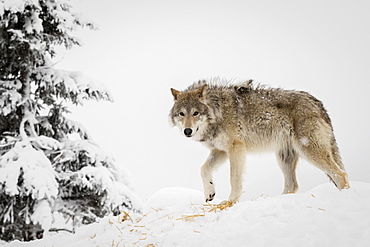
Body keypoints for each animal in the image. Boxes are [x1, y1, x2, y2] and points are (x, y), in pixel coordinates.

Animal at [170, 78, 350, 203]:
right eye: (181, 114)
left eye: (195, 113)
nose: (187, 131)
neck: (217, 112)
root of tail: (318, 103)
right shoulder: (221, 150)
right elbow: (203, 169)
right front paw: (210, 193)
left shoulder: (236, 148)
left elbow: (234, 179)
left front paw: (230, 202)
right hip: (284, 157)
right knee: (292, 185)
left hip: (308, 151)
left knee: (341, 174)